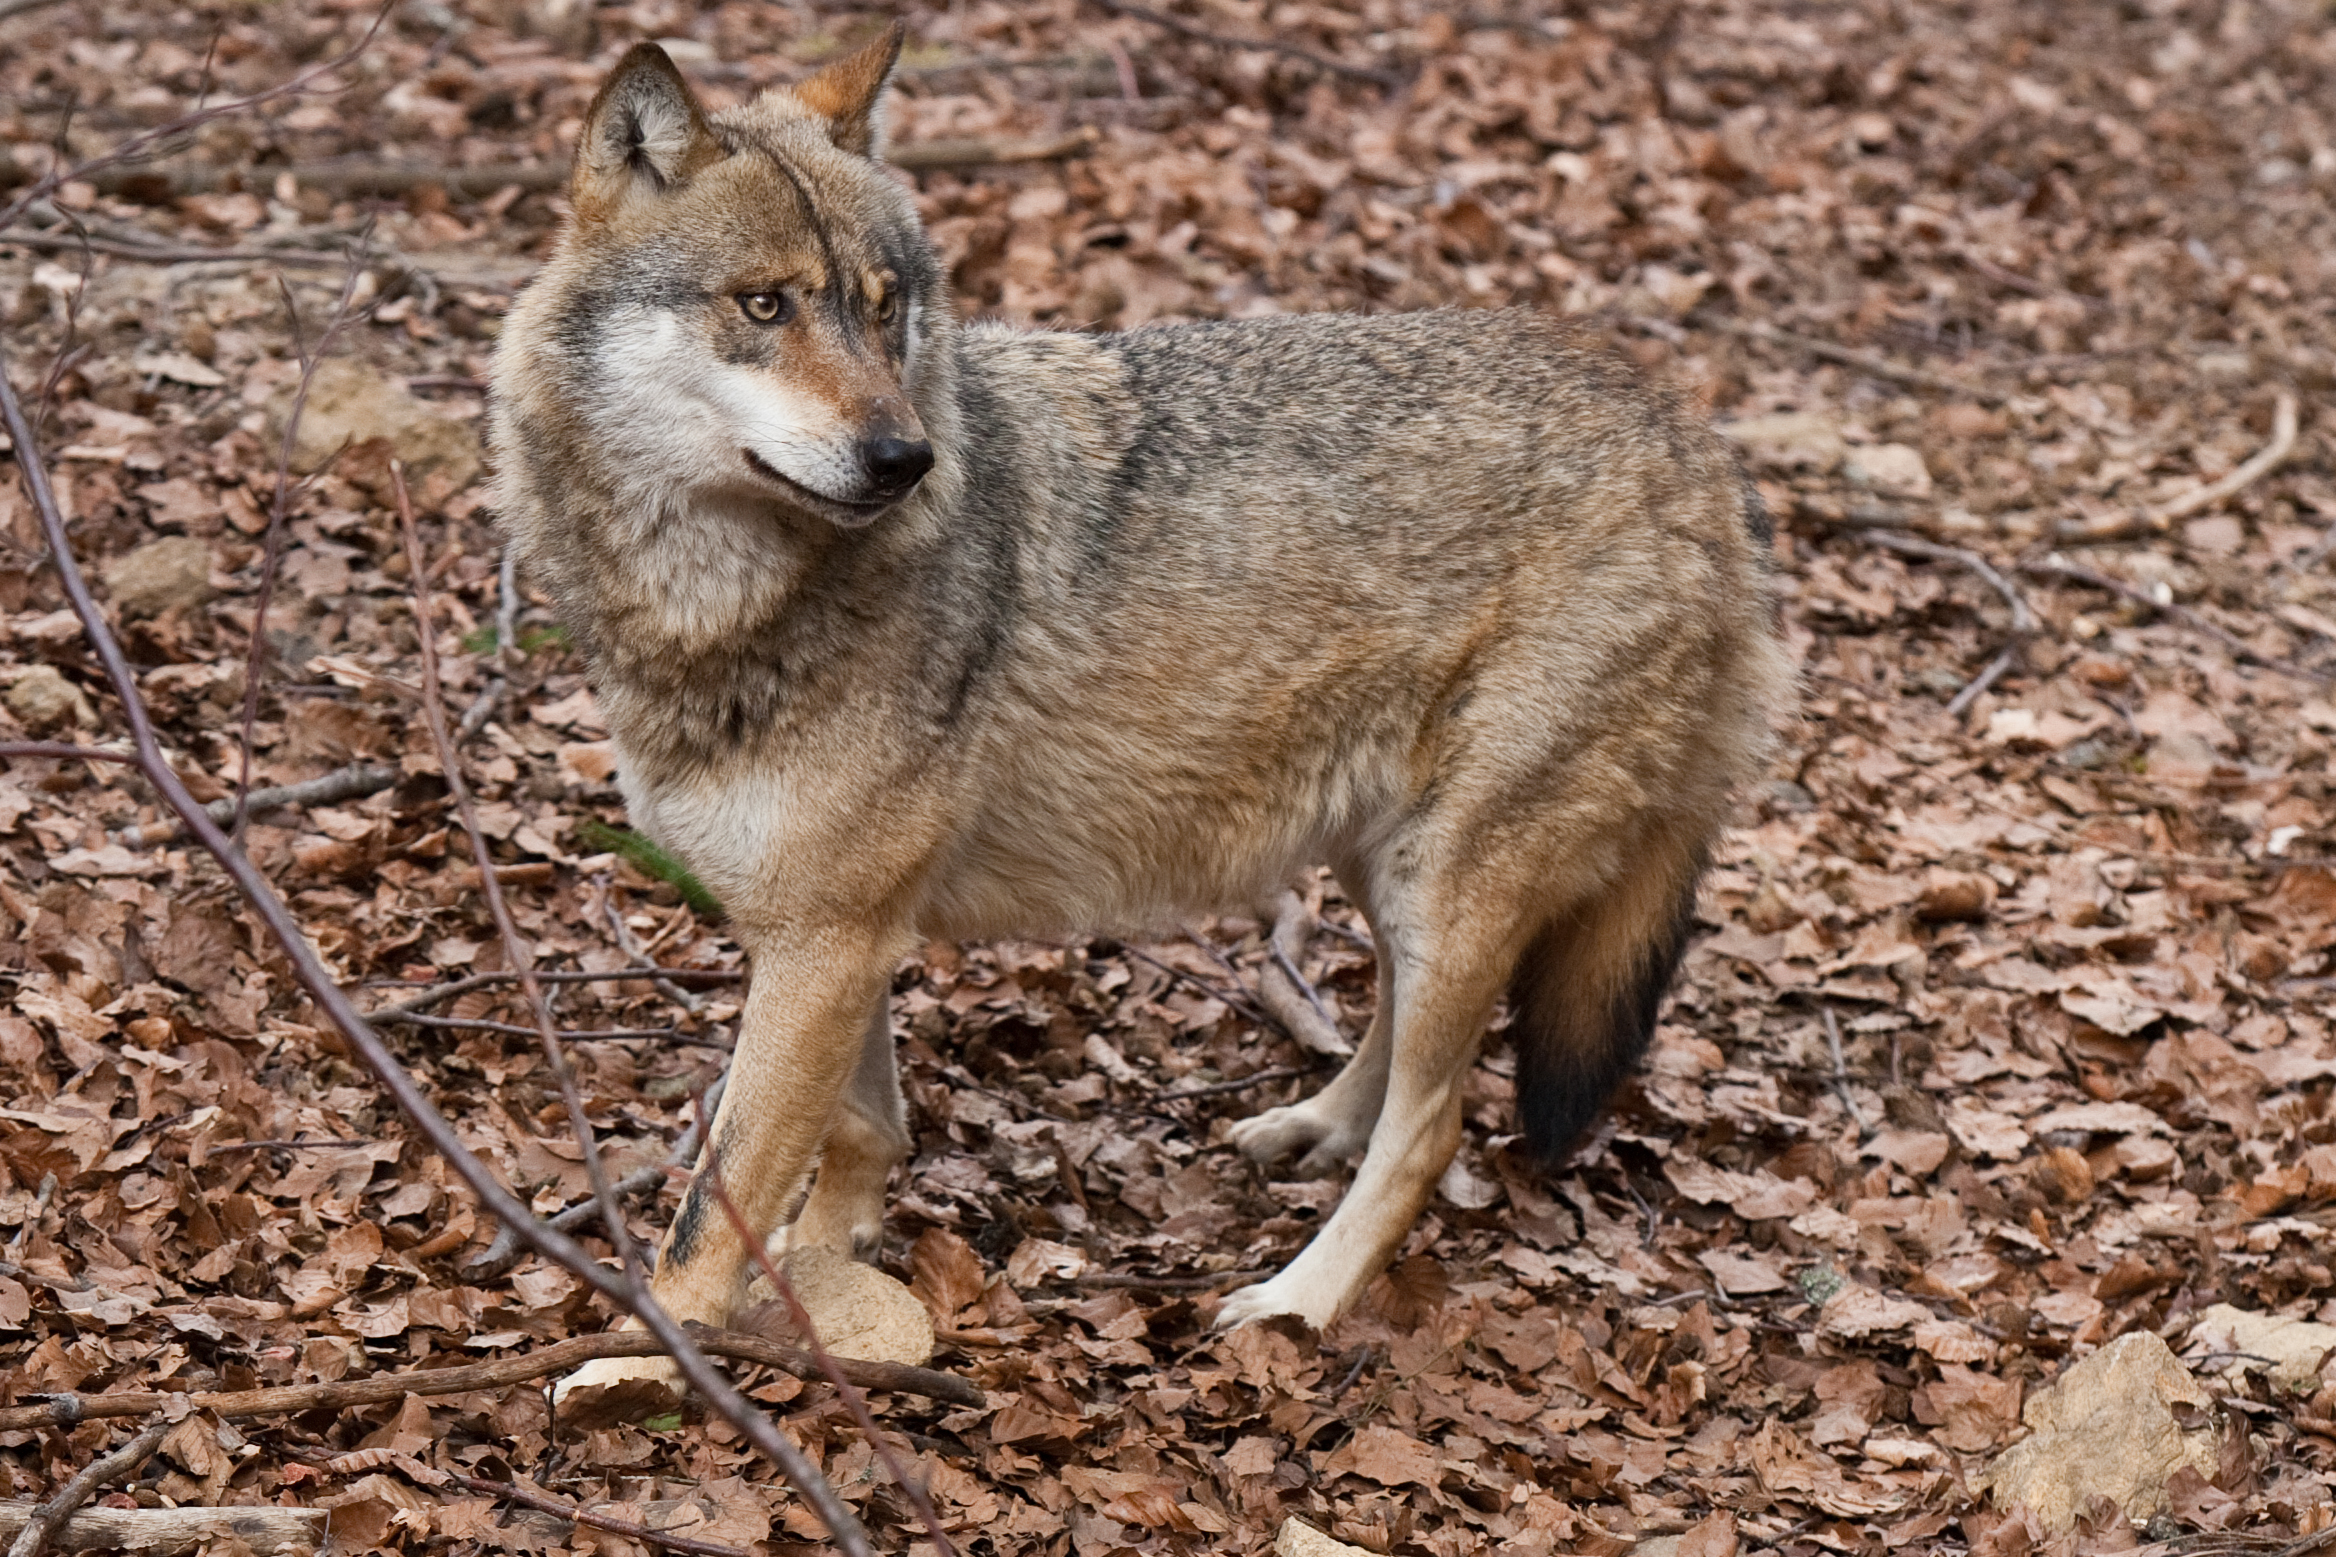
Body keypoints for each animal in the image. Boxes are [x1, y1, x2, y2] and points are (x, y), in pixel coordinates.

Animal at [489, 25, 1794, 1397]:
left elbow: (712, 1202)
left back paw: (1294, 1304)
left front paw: (645, 1370)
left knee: (1433, 1126)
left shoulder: (830, 940)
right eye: (764, 305)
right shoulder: (827, 938)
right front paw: (826, 1268)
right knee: (1398, 1035)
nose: (906, 460)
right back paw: (1314, 1126)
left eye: (883, 307)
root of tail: (1706, 450)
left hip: (1453, 876)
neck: (719, 611)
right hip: (1390, 868)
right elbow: (854, 1136)